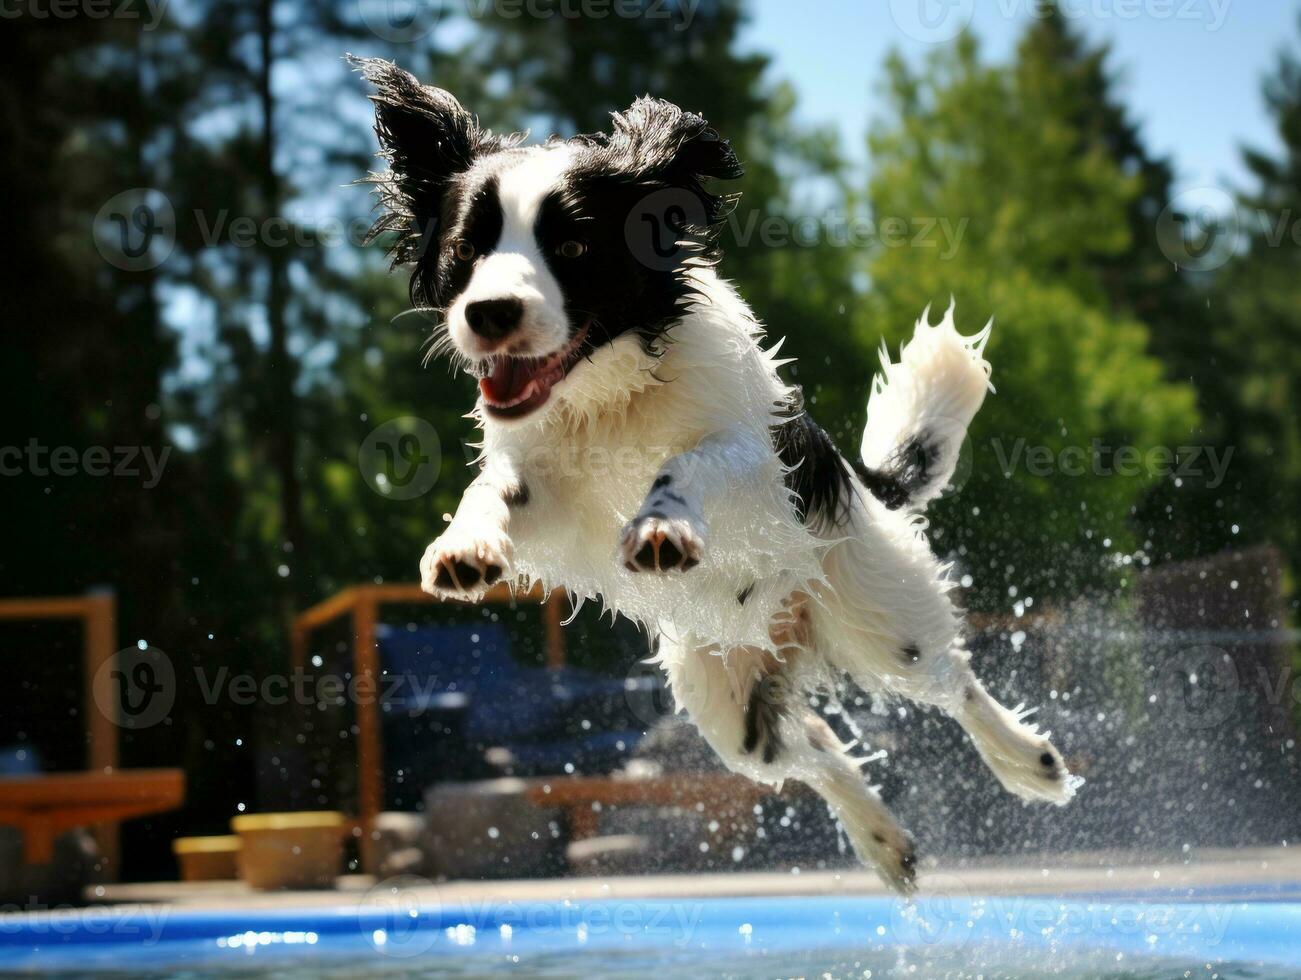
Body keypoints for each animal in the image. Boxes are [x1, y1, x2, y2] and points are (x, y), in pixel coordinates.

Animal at [359, 57, 1077, 890]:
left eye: (571, 247)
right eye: (467, 249)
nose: (490, 312)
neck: (608, 393)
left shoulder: (749, 464)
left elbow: (688, 467)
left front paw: (661, 526)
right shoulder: (541, 481)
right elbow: (491, 494)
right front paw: (464, 548)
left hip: (876, 617)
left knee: (951, 678)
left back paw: (1028, 761)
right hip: (725, 701)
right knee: (812, 749)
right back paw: (882, 843)